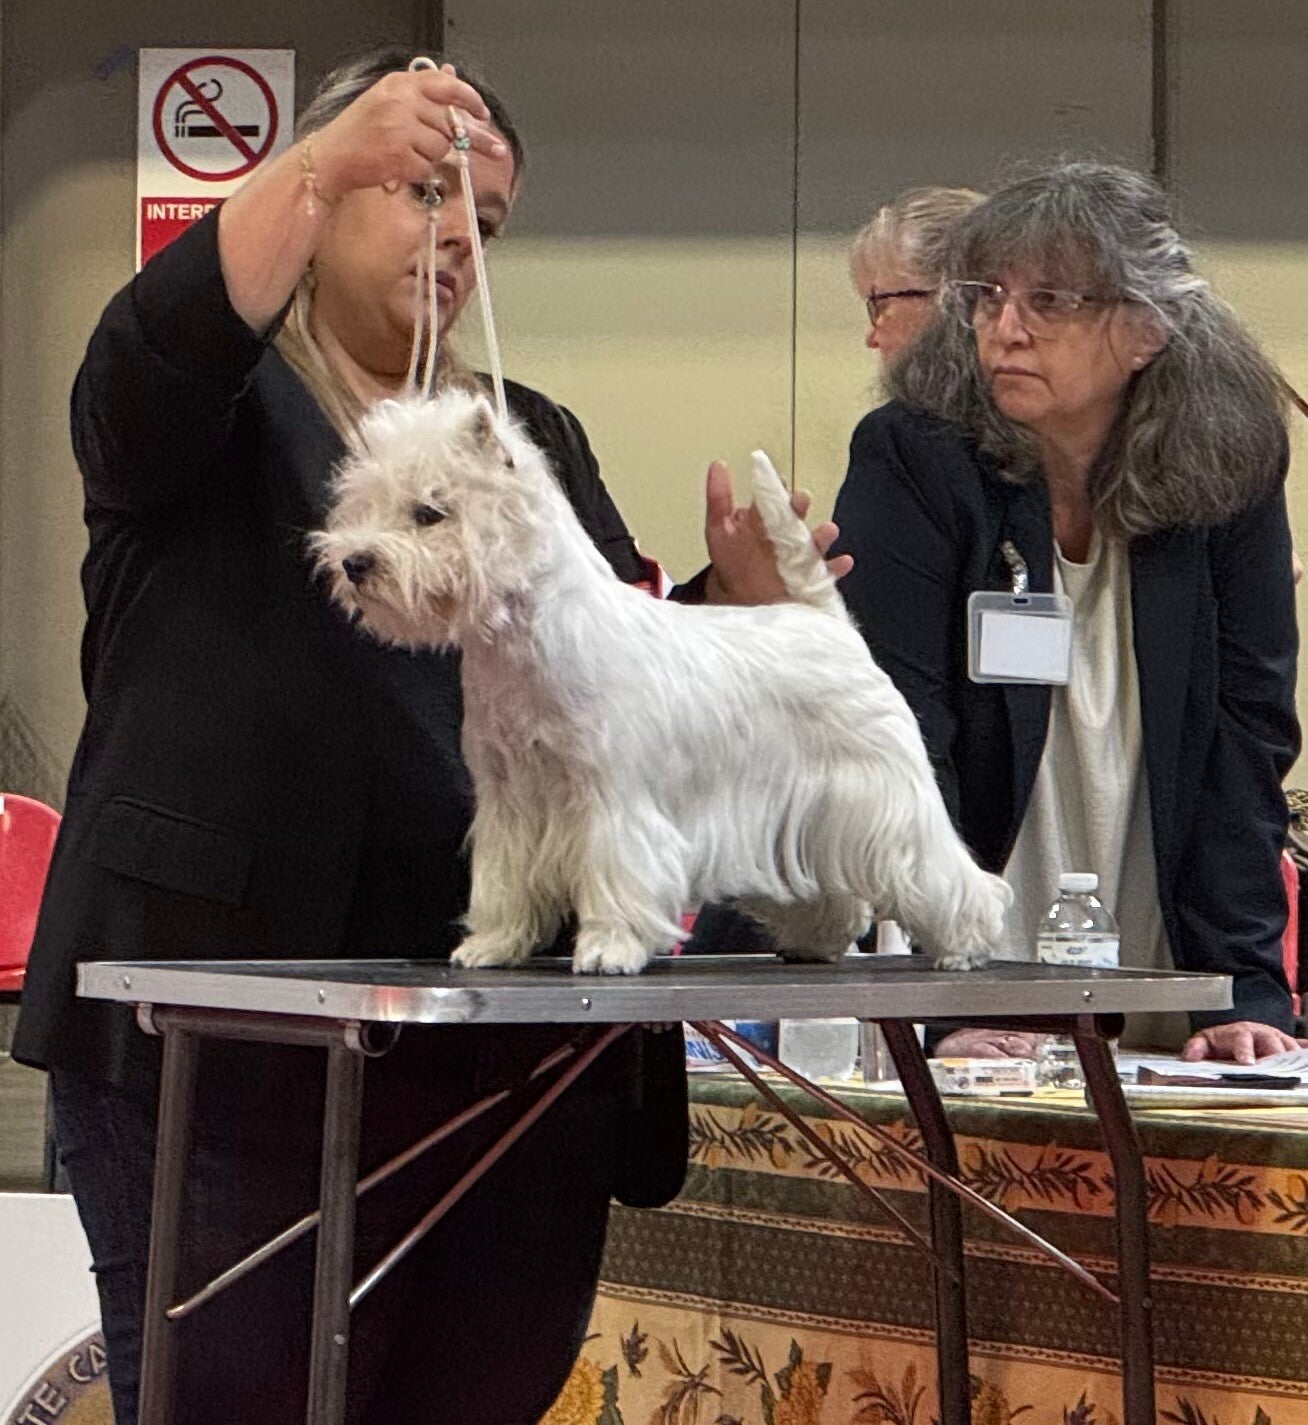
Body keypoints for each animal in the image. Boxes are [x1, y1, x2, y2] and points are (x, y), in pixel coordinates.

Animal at [312, 389, 1010, 975]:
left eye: (430, 512)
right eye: (364, 504)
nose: (355, 562)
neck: (519, 644)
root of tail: (827, 621)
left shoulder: (611, 797)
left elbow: (617, 875)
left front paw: (608, 949)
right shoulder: (509, 800)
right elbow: (506, 885)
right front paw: (493, 945)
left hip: (883, 790)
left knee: (942, 871)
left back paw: (965, 944)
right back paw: (814, 941)